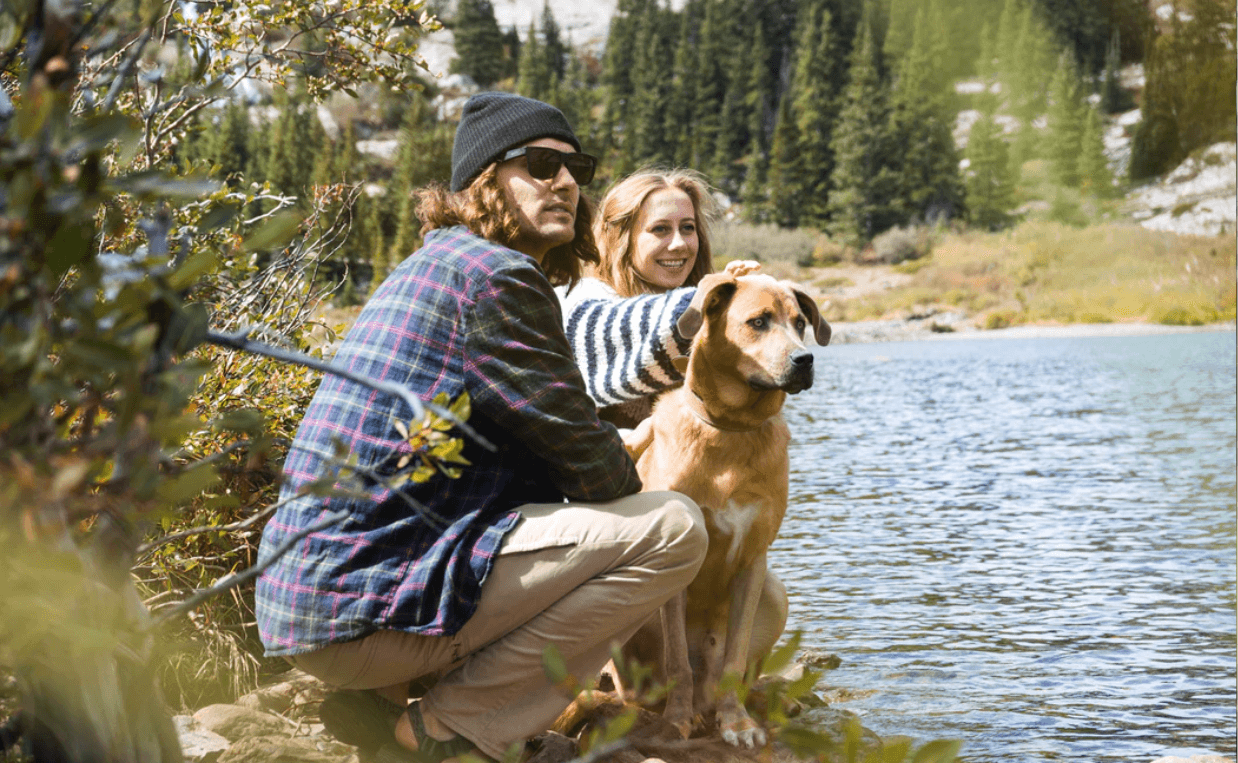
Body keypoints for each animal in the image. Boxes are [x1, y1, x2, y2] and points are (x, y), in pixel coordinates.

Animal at [619, 271, 831, 748]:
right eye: (758, 321)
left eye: (800, 323)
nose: (805, 360)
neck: (731, 432)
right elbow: (677, 661)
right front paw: (676, 721)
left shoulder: (753, 562)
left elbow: (734, 660)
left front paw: (737, 723)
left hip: (774, 592)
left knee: (735, 677)